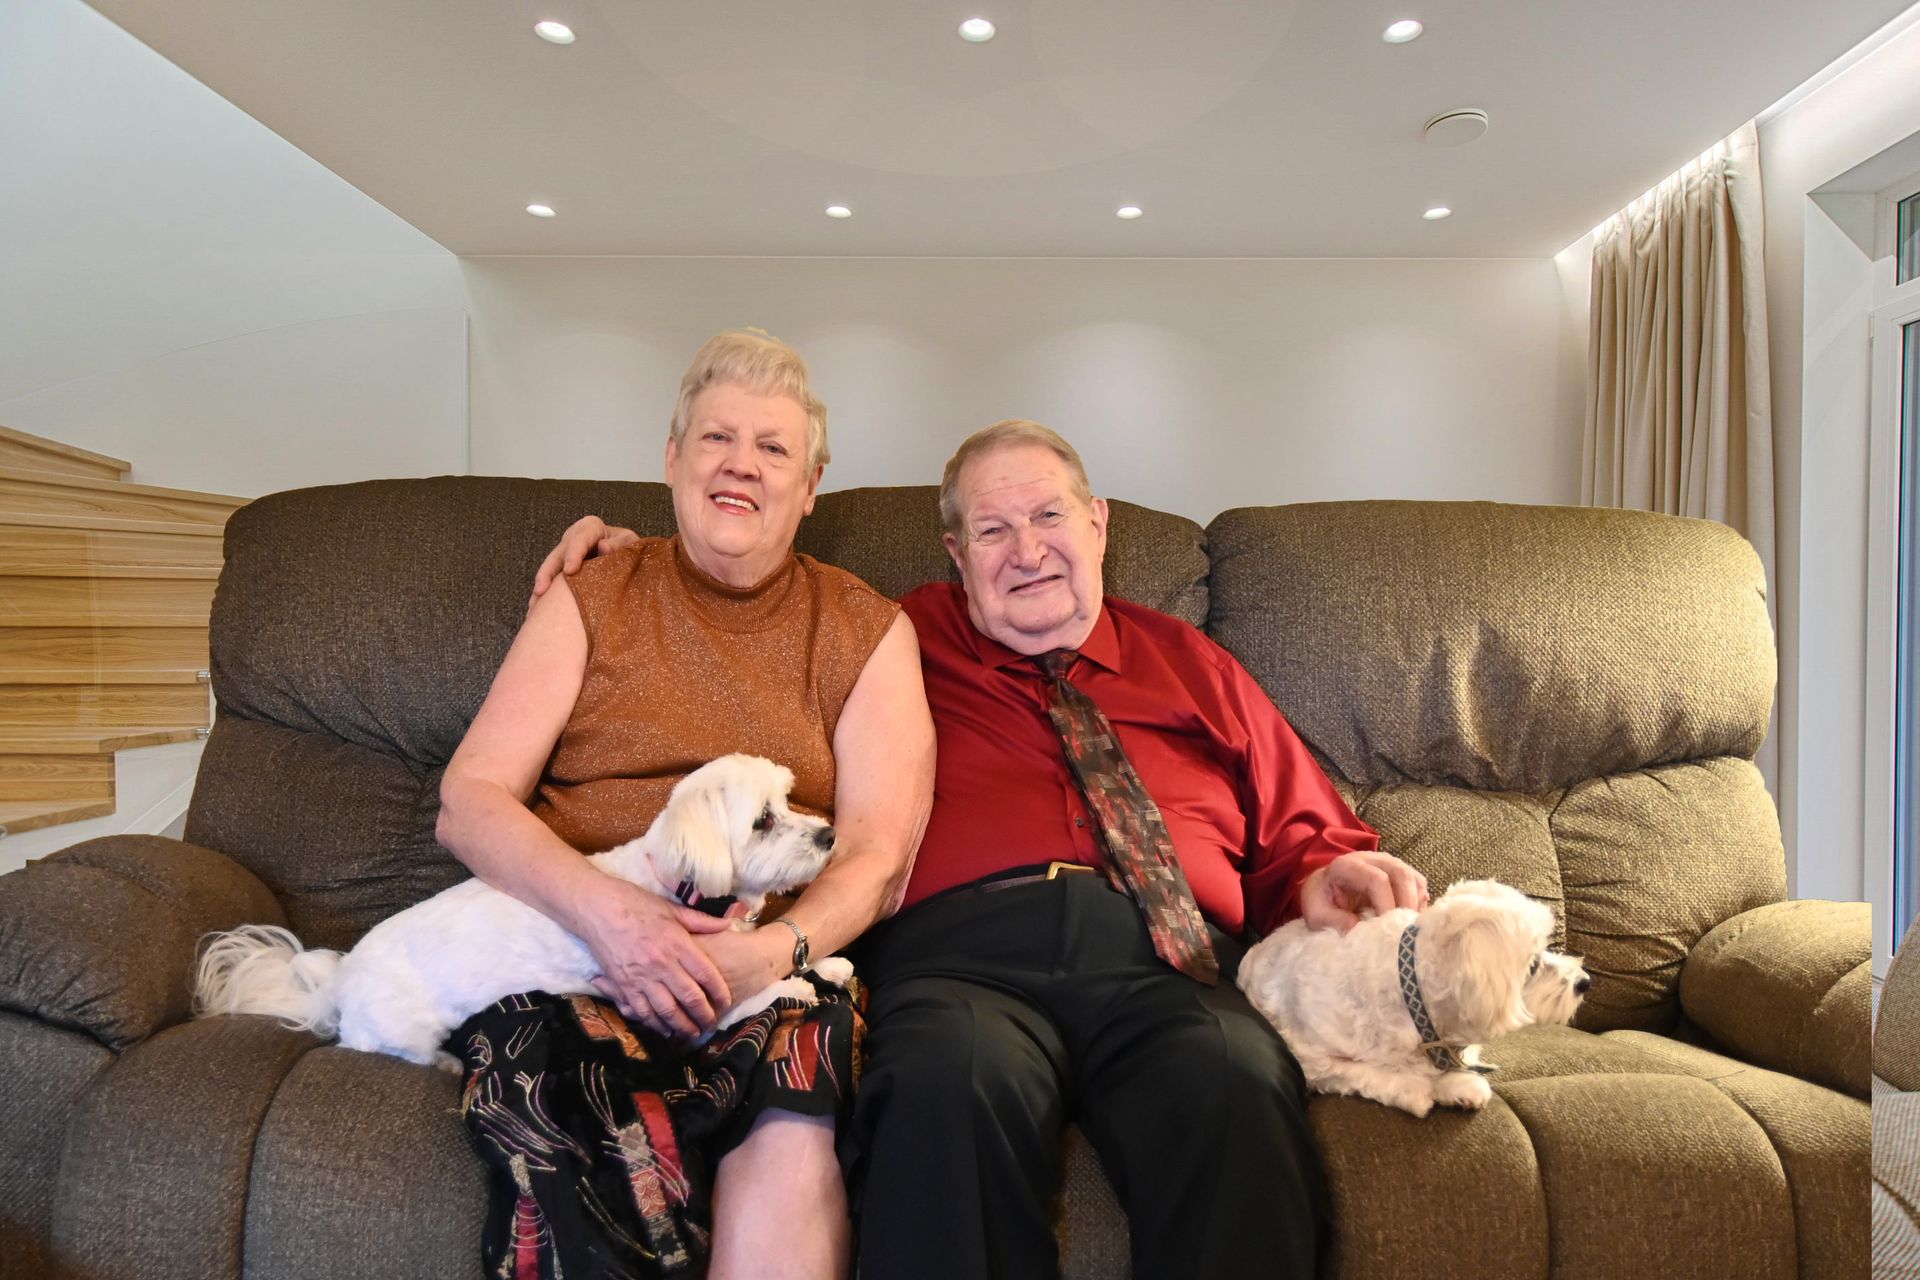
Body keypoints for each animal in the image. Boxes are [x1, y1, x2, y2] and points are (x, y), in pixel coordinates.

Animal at [193, 753, 852, 1071]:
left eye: (788, 800)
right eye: (762, 820)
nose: (829, 835)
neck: (683, 887)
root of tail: (340, 980)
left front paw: (828, 964)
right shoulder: (699, 1003)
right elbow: (759, 992)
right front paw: (796, 985)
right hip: (402, 1028)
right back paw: (442, 1064)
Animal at [1236, 878, 1589, 1117]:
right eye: (1532, 966)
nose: (1584, 982)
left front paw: (1457, 1084)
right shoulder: (1313, 1060)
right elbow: (1368, 1073)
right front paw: (1421, 1090)